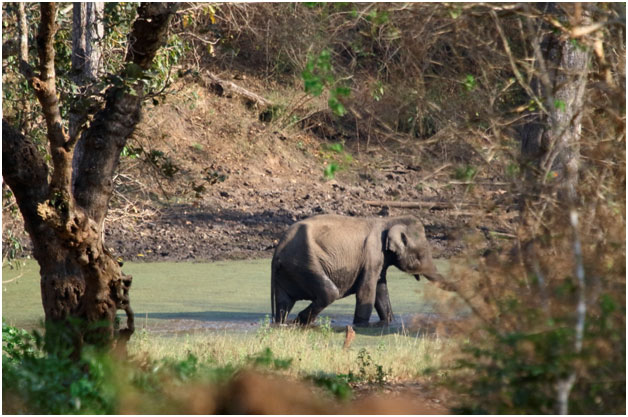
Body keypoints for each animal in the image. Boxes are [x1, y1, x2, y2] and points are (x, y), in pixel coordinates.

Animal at [270, 214, 452, 324]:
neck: (389, 221)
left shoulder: (380, 260)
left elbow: (381, 291)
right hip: (305, 263)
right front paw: (361, 325)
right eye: (420, 254)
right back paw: (299, 320)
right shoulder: (372, 254)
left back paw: (284, 322)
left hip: (288, 271)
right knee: (329, 293)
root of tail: (278, 248)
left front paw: (389, 322)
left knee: (284, 303)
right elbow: (367, 291)